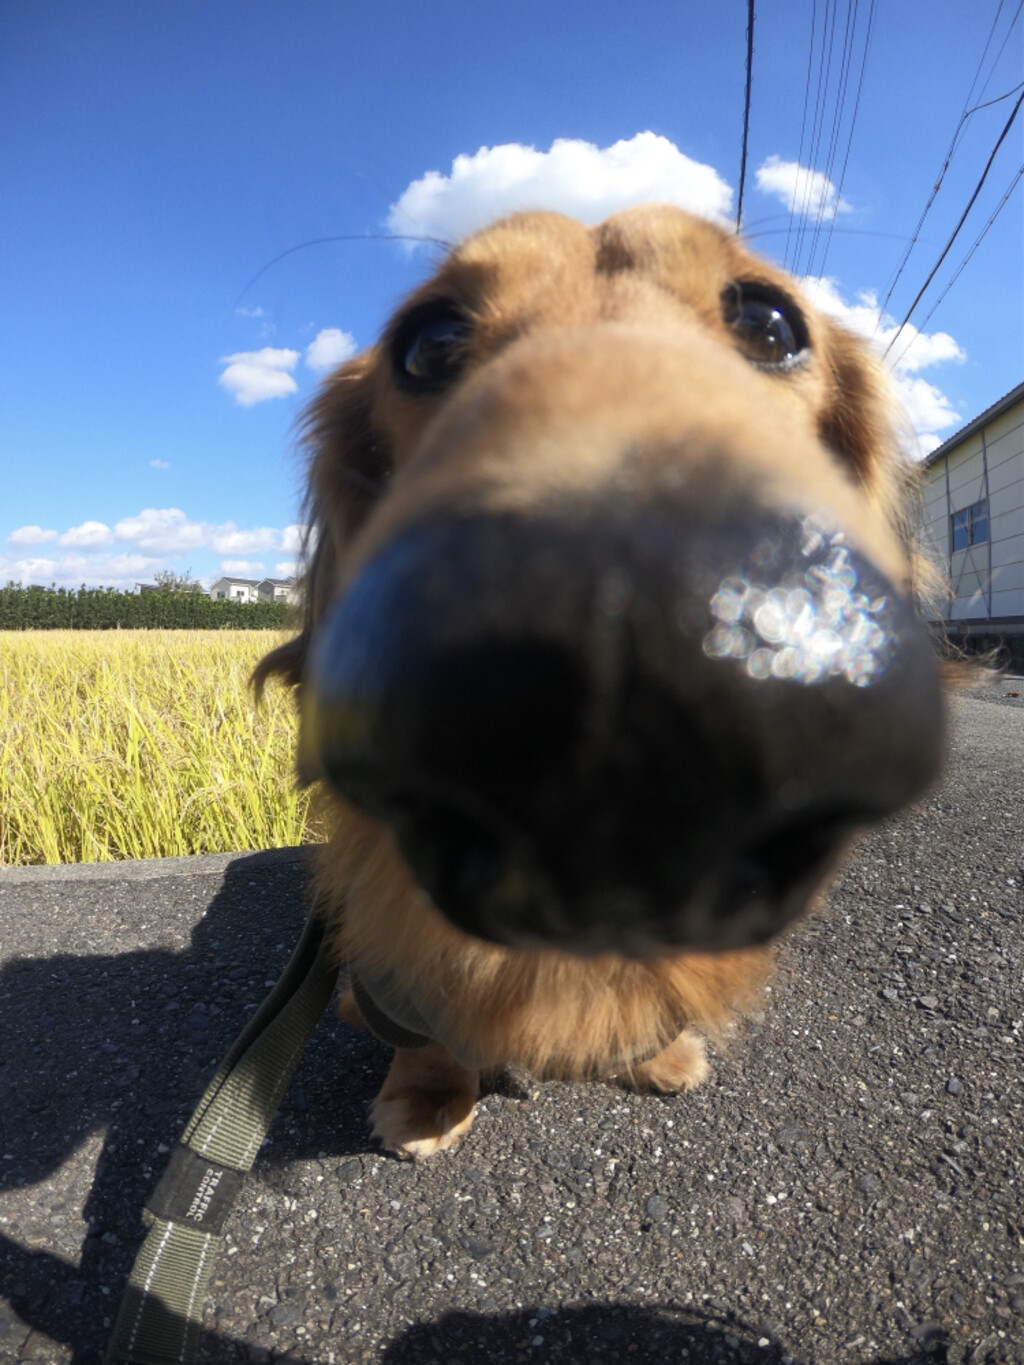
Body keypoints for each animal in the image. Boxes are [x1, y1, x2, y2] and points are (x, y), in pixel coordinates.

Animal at [256, 207, 944, 1157]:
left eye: (770, 323)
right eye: (429, 343)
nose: (622, 640)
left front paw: (657, 1053)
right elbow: (426, 1030)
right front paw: (428, 1098)